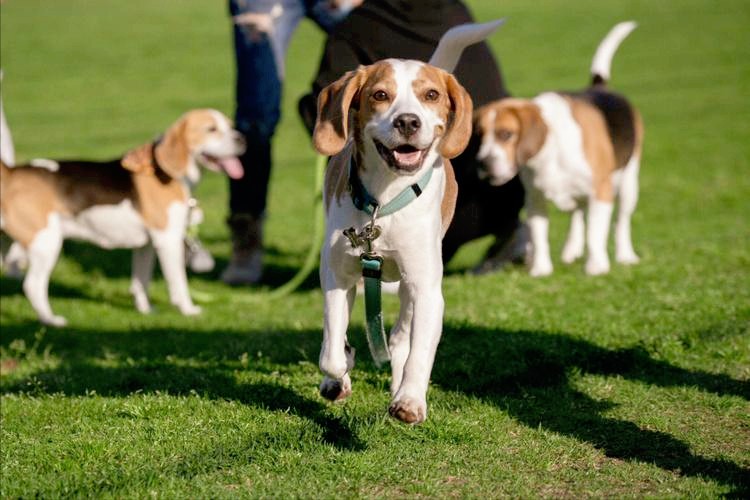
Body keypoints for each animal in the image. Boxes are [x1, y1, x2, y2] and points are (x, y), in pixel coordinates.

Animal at [0, 109, 247, 324]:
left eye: (230, 125)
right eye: (211, 129)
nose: (242, 139)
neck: (166, 171)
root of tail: (11, 173)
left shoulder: (146, 246)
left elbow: (141, 282)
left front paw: (146, 310)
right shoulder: (168, 241)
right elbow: (179, 283)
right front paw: (188, 310)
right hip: (46, 243)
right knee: (33, 285)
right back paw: (50, 320)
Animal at [312, 21, 506, 424]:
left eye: (430, 95)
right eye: (380, 95)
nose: (407, 121)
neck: (384, 202)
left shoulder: (426, 288)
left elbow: (418, 352)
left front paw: (410, 399)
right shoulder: (337, 275)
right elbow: (332, 352)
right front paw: (340, 371)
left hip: (408, 284)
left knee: (402, 337)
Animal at [478, 21, 644, 276]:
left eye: (505, 134)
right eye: (479, 135)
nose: (483, 163)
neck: (550, 149)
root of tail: (600, 88)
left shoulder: (601, 192)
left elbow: (595, 233)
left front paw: (596, 266)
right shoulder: (535, 200)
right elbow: (539, 236)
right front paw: (541, 269)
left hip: (628, 184)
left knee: (621, 221)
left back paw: (625, 255)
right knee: (577, 214)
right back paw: (571, 250)